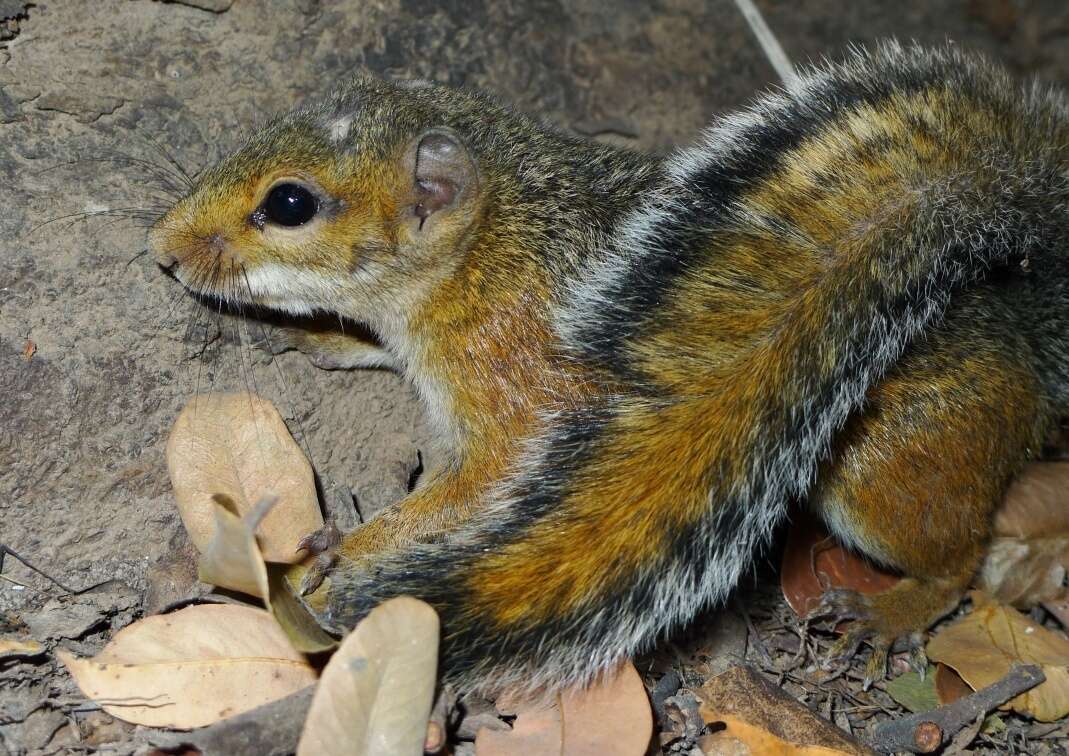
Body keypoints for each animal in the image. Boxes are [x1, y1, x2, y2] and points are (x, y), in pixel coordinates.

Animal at [150, 39, 1069, 692]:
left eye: (289, 202)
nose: (161, 247)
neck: (485, 257)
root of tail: (1033, 352)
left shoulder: (516, 411)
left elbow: (465, 495)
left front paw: (351, 549)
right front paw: (333, 342)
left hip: (884, 471)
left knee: (958, 559)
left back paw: (899, 606)